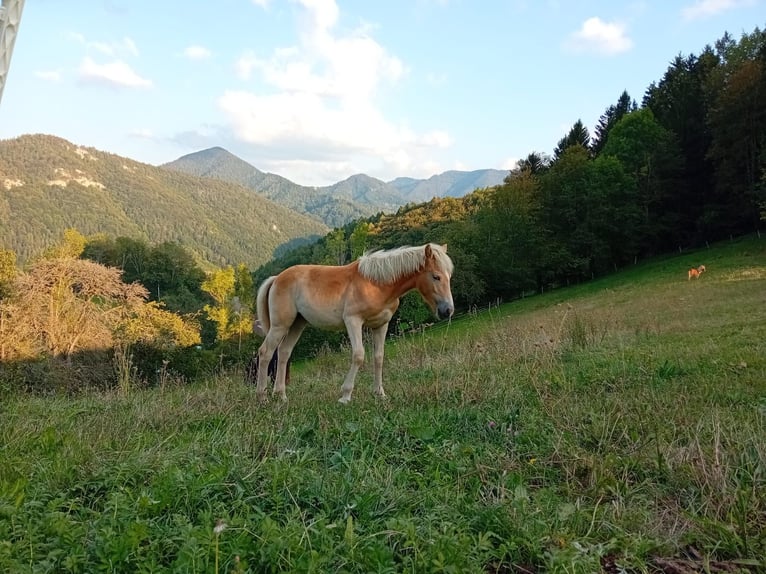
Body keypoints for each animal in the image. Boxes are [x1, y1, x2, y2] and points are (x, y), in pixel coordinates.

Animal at [256, 243, 456, 404]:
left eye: (449, 276)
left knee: (283, 353)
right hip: (280, 326)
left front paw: (380, 393)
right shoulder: (353, 321)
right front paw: (345, 396)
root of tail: (277, 278)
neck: (377, 284)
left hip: (297, 324)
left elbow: (378, 357)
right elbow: (359, 355)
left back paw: (281, 396)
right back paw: (262, 397)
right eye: (436, 276)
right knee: (265, 352)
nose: (448, 310)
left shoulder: (381, 325)